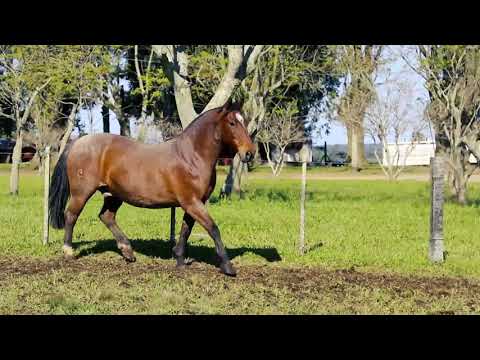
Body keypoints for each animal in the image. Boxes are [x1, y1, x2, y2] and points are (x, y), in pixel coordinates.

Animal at [48, 100, 255, 278]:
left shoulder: (194, 203)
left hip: (113, 194)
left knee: (106, 216)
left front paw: (180, 259)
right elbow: (213, 229)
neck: (191, 156)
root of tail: (78, 142)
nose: (250, 153)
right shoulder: (192, 202)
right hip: (81, 193)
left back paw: (127, 251)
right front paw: (227, 266)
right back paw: (69, 251)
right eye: (232, 123)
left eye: (244, 121)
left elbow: (186, 229)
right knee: (71, 215)